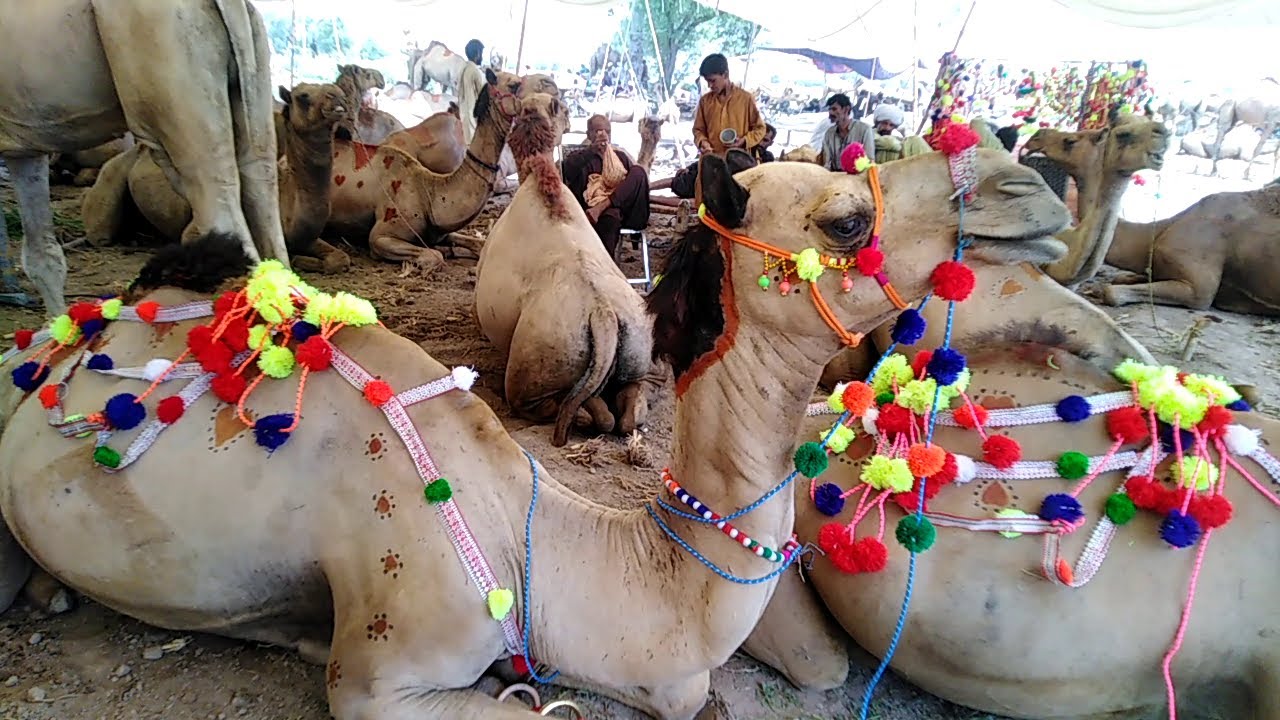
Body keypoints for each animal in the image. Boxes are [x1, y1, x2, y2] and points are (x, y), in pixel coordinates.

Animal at [80, 83, 352, 274]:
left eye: (334, 89)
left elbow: (341, 258)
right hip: (112, 175)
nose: (338, 96)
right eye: (303, 96)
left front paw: (305, 259)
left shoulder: (308, 237)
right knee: (100, 230)